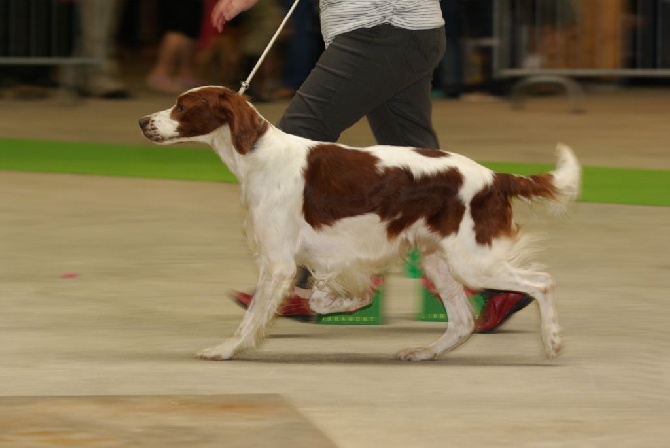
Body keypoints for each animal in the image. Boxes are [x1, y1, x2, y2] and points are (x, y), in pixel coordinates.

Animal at [138, 86, 584, 362]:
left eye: (181, 106)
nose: (143, 121)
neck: (258, 156)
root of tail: (496, 177)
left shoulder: (278, 262)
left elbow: (253, 317)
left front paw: (225, 349)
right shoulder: (322, 257)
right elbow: (330, 296)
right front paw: (341, 302)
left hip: (471, 259)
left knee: (542, 282)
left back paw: (552, 340)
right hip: (438, 259)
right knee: (462, 321)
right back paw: (424, 352)